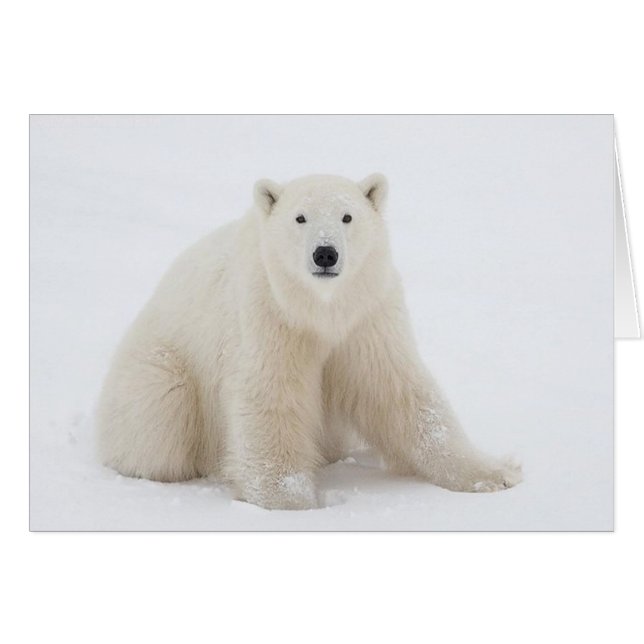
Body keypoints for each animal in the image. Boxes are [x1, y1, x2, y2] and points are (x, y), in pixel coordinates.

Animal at [97, 174, 522, 510]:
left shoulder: (367, 315)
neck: (320, 308)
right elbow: (270, 394)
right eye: (300, 217)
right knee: (160, 418)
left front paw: (495, 474)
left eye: (347, 216)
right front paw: (290, 501)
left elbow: (398, 390)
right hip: (159, 369)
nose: (325, 253)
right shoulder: (268, 313)